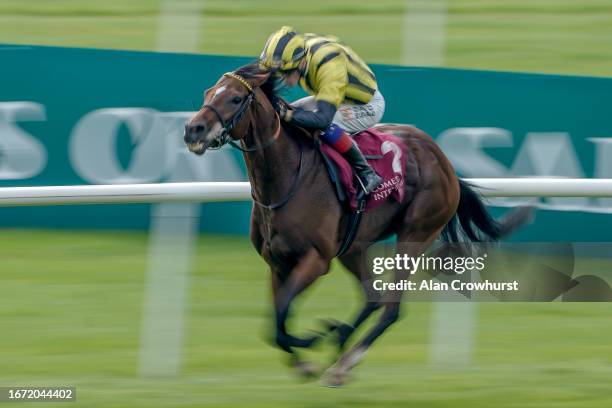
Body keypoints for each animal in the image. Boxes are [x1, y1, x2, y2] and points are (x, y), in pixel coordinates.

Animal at [183, 62, 532, 388]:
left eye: (235, 98)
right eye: (208, 92)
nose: (193, 129)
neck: (285, 180)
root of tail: (444, 161)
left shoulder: (316, 260)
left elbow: (281, 315)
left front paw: (314, 339)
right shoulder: (278, 263)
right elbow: (276, 321)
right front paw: (306, 358)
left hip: (414, 233)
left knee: (390, 308)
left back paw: (343, 360)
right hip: (355, 246)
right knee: (372, 297)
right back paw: (340, 348)